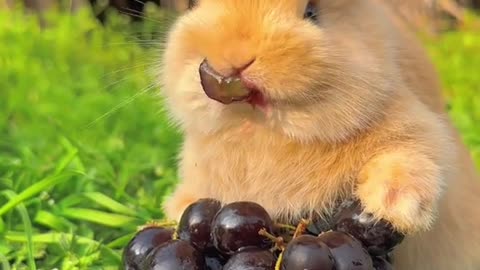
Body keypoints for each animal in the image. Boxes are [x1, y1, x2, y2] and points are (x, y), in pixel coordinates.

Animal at [157, 1, 480, 268]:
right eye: (198, 5)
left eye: (312, 12)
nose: (236, 59)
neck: (264, 133)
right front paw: (180, 209)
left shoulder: (418, 131)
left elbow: (409, 158)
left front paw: (392, 206)